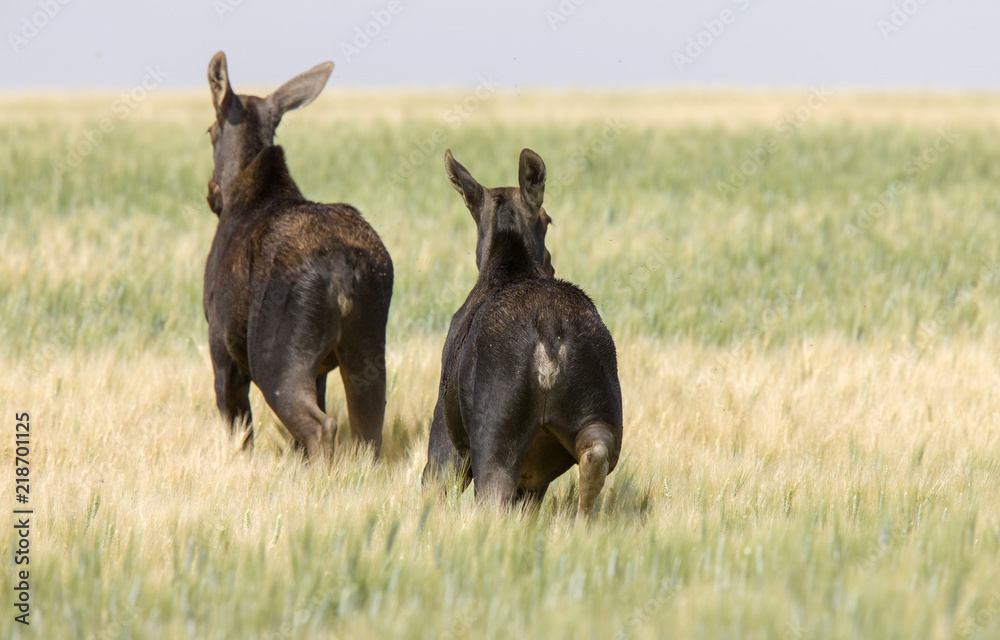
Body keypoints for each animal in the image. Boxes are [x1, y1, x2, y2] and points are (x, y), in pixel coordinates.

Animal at [202, 52, 393, 462]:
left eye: (209, 131)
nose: (211, 192)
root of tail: (342, 271)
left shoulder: (221, 348)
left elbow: (239, 431)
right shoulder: (320, 370)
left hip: (272, 357)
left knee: (321, 427)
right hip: (367, 348)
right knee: (368, 430)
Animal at [422, 148, 623, 519]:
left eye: (548, 219)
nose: (552, 262)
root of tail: (549, 334)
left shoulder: (444, 438)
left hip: (494, 440)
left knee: (491, 499)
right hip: (600, 409)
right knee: (598, 452)